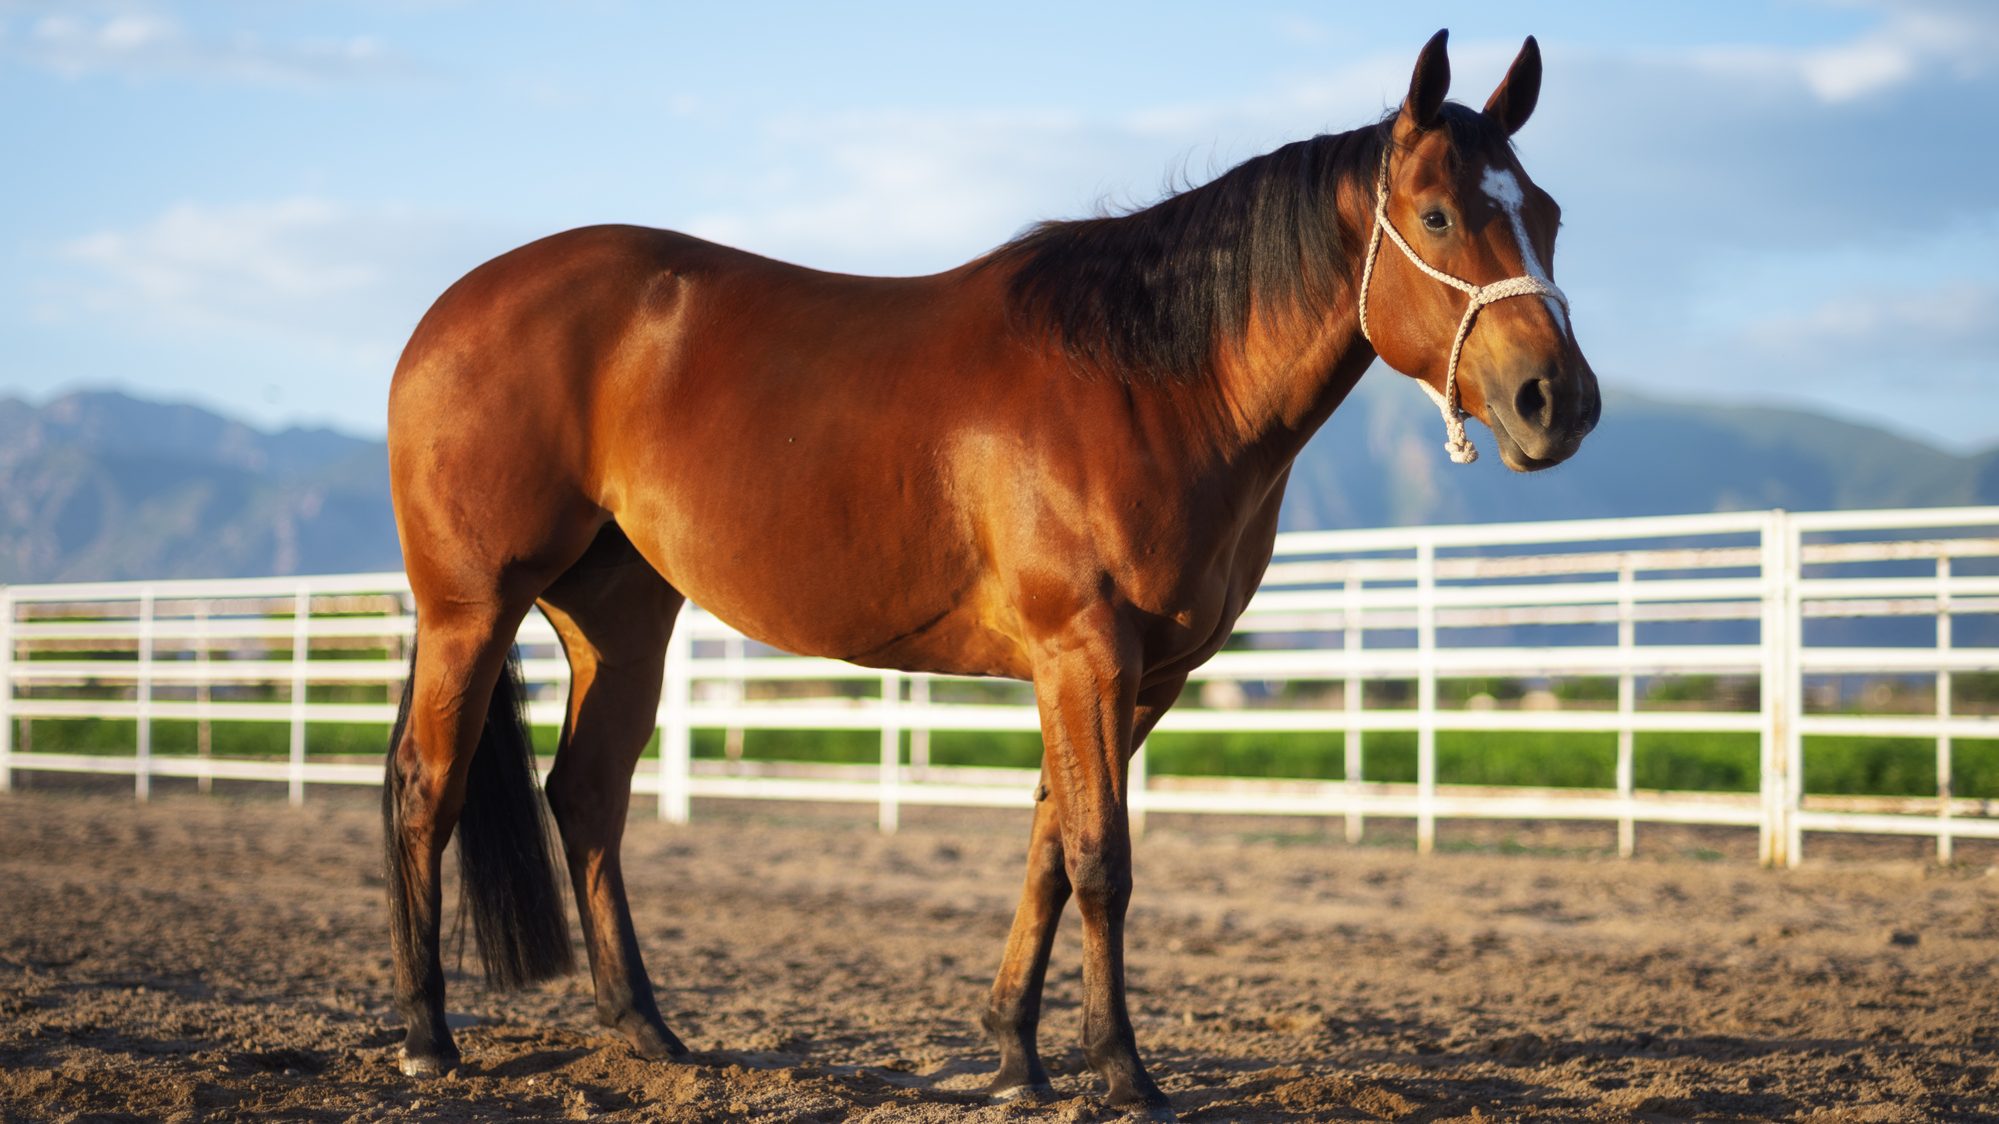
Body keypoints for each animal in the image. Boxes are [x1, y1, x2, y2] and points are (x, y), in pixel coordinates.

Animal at [377, 28, 1591, 1112]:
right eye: (1437, 215)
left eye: (1547, 215)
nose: (1558, 401)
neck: (1153, 381)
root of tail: (447, 312)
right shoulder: (1083, 651)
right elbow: (1101, 857)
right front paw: (1123, 1072)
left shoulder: (1141, 676)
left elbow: (1051, 846)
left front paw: (1015, 1055)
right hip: (472, 607)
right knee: (426, 787)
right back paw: (428, 1038)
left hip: (620, 617)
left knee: (587, 794)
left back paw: (646, 1030)